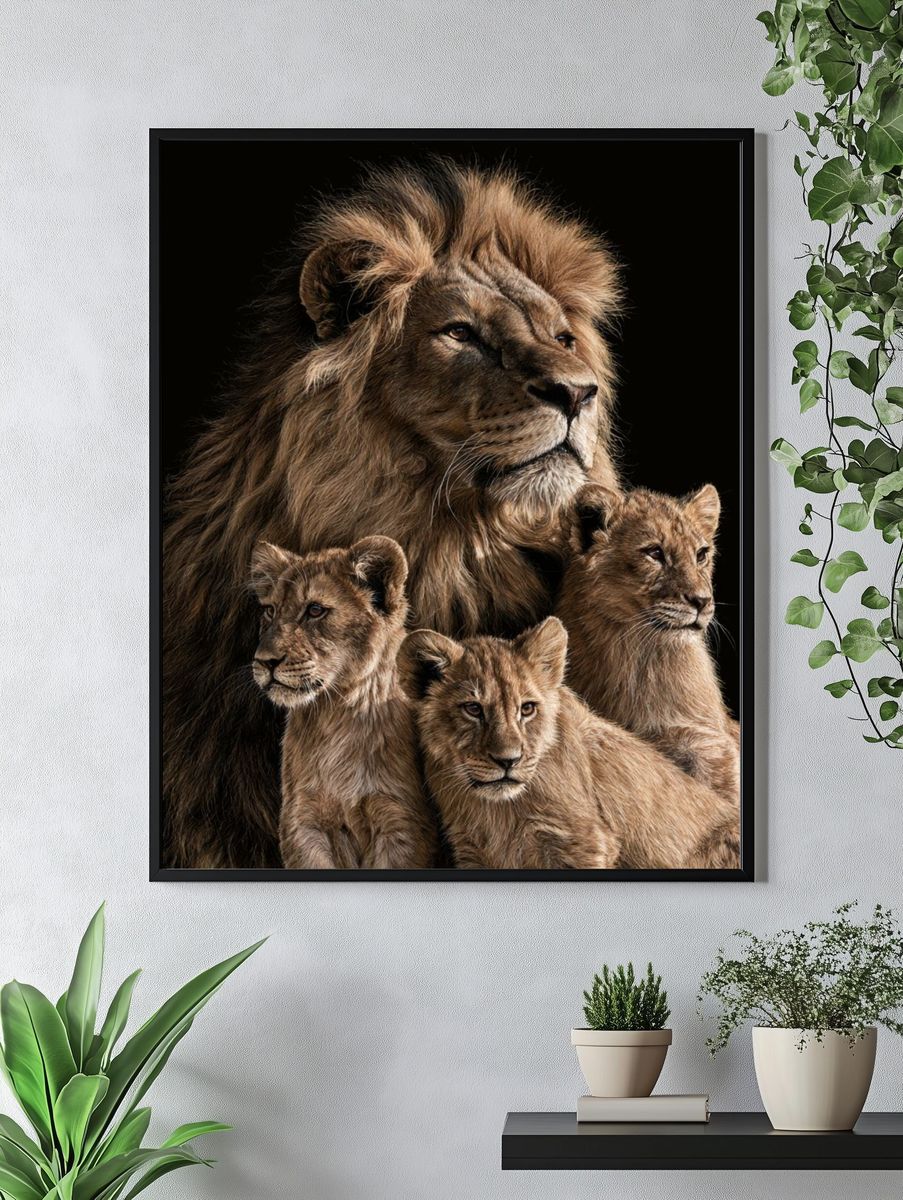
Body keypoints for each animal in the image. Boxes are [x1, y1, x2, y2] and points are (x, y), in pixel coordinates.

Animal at [249, 536, 438, 869]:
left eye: (315, 610)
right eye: (270, 611)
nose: (264, 661)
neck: (336, 715)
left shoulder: (403, 823)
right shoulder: (304, 822)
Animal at [399, 617, 738, 871]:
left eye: (527, 709)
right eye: (473, 709)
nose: (508, 761)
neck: (497, 810)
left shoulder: (585, 841)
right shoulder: (472, 849)